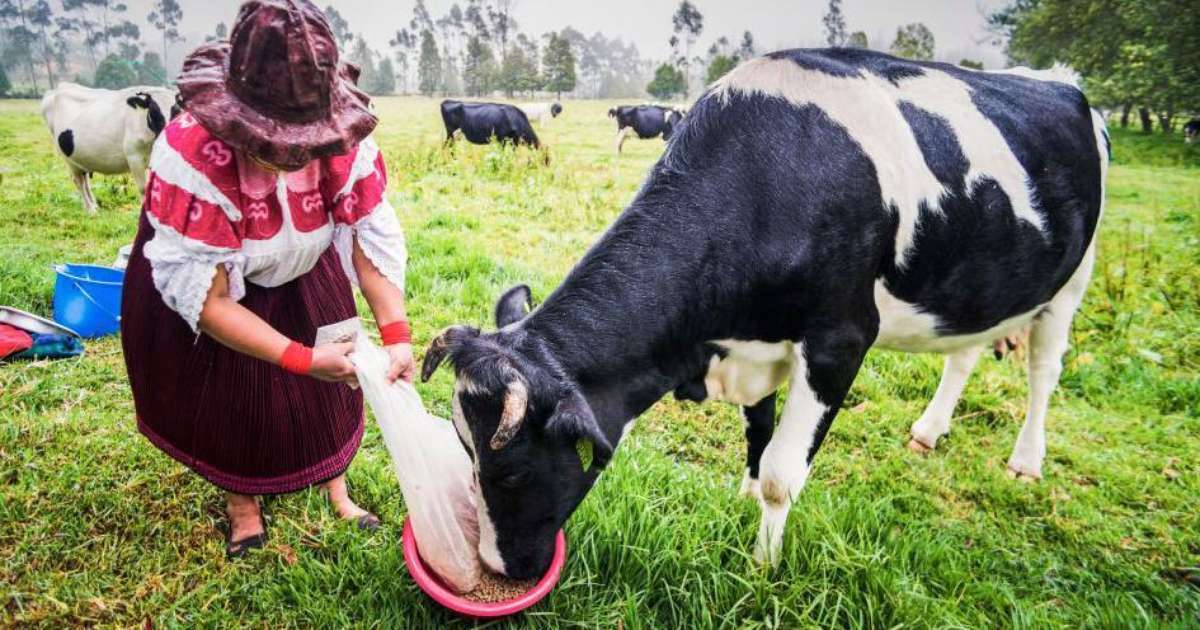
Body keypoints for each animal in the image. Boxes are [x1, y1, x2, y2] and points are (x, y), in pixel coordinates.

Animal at [42, 81, 180, 211]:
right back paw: (90, 210)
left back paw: (94, 205)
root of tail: (60, 87)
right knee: (78, 181)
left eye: (177, 112)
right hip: (68, 159)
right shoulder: (134, 157)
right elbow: (143, 188)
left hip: (80, 158)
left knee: (85, 181)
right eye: (153, 114)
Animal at [422, 48, 1104, 580]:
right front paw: (742, 497)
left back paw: (1026, 461)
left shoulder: (838, 341)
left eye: (512, 473)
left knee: (1044, 373)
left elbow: (782, 471)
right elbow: (757, 431)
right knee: (963, 354)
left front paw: (763, 565)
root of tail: (1062, 82)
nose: (498, 569)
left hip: (1071, 282)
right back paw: (929, 430)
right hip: (980, 287)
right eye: (463, 450)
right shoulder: (753, 343)